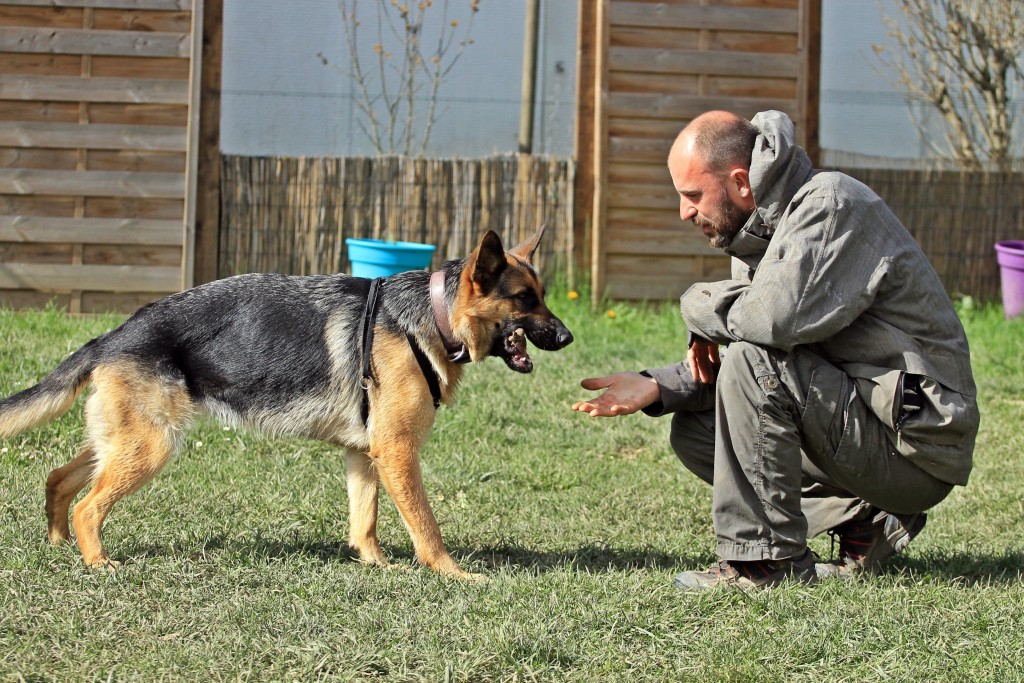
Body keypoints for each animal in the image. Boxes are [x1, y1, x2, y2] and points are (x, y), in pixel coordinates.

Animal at [0, 228, 573, 577]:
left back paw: (58, 543)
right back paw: (97, 562)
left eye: (543, 295)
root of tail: (114, 335)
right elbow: (426, 525)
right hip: (151, 447)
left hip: (122, 442)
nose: (568, 338)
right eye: (525, 299)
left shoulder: (366, 455)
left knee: (59, 480)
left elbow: (364, 520)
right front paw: (454, 573)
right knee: (87, 506)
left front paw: (375, 565)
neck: (430, 315)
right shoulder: (396, 452)